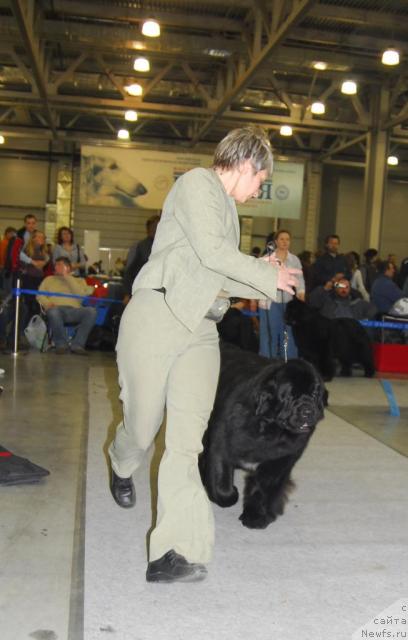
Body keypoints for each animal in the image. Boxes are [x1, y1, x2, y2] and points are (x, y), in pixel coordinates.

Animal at [199, 344, 326, 528]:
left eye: (315, 394)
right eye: (289, 395)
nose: (308, 411)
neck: (271, 431)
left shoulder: (279, 460)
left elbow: (264, 488)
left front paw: (256, 516)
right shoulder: (220, 444)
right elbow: (222, 486)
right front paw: (230, 493)